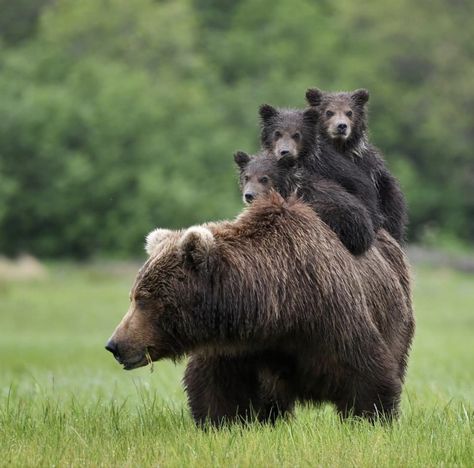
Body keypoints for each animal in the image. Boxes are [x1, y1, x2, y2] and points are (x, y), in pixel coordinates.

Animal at [106, 192, 414, 426]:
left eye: (143, 299)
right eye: (134, 296)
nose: (114, 344)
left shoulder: (330, 317)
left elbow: (366, 373)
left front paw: (370, 419)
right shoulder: (234, 347)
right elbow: (215, 389)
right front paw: (218, 422)